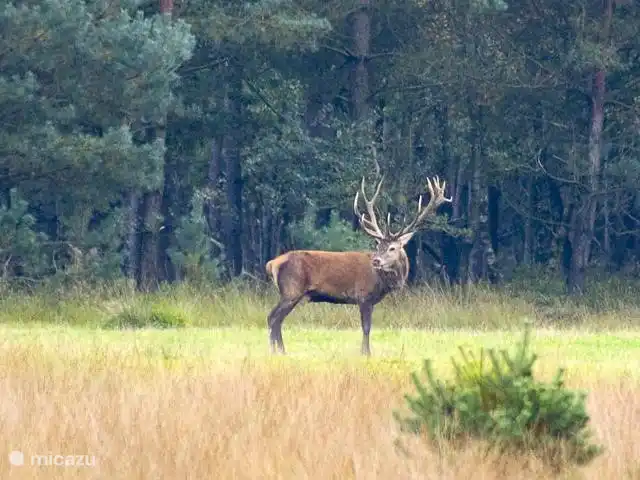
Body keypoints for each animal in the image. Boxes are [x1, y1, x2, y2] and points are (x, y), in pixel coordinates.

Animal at [264, 174, 452, 356]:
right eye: (378, 246)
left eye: (392, 247)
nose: (376, 261)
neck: (382, 282)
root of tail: (272, 263)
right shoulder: (364, 296)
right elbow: (366, 328)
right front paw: (366, 353)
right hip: (291, 290)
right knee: (273, 318)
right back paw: (277, 351)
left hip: (291, 293)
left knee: (275, 319)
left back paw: (279, 351)